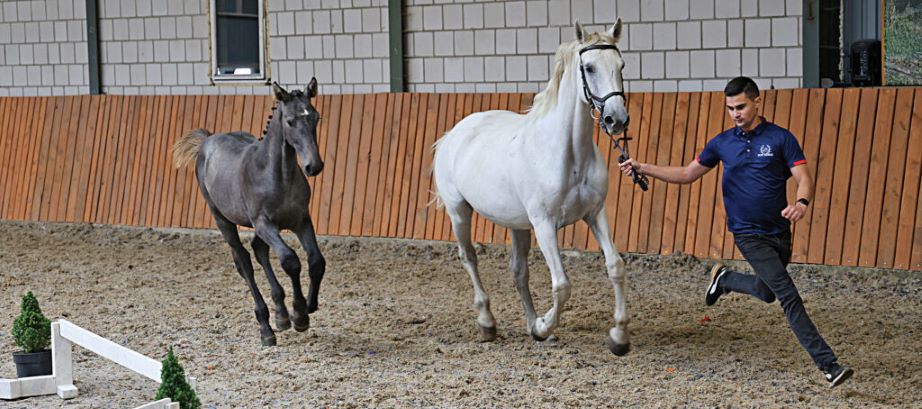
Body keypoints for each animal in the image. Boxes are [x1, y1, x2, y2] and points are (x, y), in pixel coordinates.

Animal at [172, 79, 328, 344]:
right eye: (290, 121)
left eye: (315, 117)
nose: (313, 166)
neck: (277, 175)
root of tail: (207, 141)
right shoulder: (264, 223)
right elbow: (290, 261)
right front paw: (299, 315)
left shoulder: (301, 220)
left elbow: (316, 261)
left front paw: (308, 306)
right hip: (222, 220)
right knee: (244, 261)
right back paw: (266, 327)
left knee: (258, 250)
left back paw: (280, 315)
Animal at [432, 19, 632, 354]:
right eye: (589, 67)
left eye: (621, 65)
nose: (615, 119)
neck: (567, 154)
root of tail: (453, 134)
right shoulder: (544, 224)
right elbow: (562, 285)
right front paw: (543, 325)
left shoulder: (595, 214)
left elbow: (615, 267)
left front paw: (618, 337)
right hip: (459, 211)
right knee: (469, 257)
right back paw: (488, 323)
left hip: (518, 225)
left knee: (518, 271)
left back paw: (529, 324)